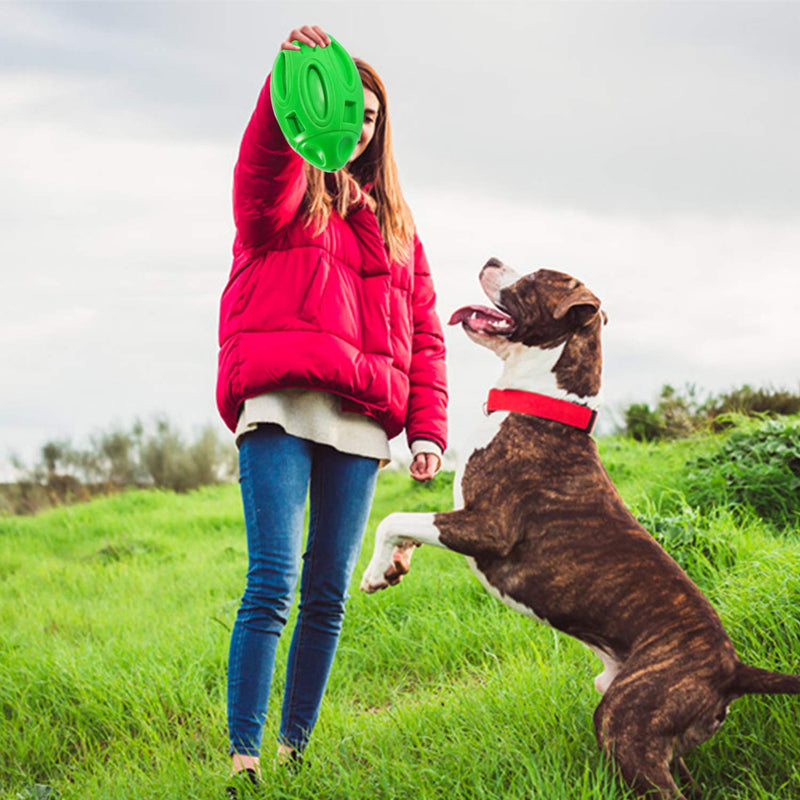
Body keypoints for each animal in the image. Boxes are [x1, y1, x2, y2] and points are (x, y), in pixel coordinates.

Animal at [362, 260, 800, 796]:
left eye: (532, 279)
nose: (491, 260)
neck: (541, 402)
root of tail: (734, 669)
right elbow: (406, 526)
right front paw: (393, 567)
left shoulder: (487, 526)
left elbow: (393, 518)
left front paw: (373, 573)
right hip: (655, 728)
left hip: (627, 721)